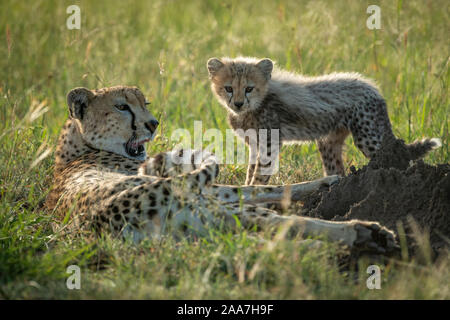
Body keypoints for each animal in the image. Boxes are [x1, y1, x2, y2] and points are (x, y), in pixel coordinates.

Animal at [44, 85, 398, 255]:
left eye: (145, 103)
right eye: (121, 106)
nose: (153, 123)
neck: (78, 147)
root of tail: (100, 216)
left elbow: (259, 189)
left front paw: (327, 183)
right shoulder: (208, 190)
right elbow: (258, 188)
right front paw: (328, 182)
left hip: (198, 226)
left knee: (260, 238)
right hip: (206, 208)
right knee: (286, 223)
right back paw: (361, 232)